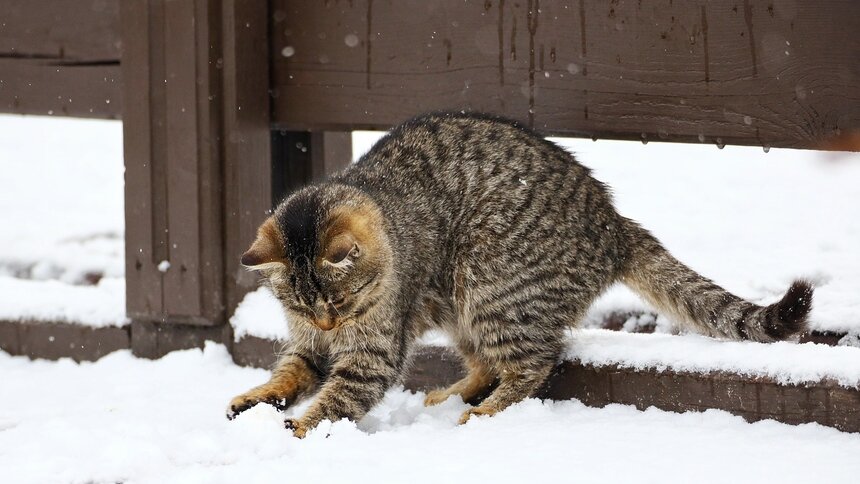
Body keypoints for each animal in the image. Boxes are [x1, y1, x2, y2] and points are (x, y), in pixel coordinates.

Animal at [223, 111, 812, 436]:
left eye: (337, 302)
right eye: (301, 306)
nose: (326, 324)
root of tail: (613, 223)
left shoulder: (372, 353)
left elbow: (337, 400)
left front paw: (298, 428)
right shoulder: (306, 344)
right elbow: (291, 373)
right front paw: (258, 400)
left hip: (490, 285)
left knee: (534, 364)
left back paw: (484, 412)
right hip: (459, 303)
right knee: (490, 363)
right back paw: (456, 393)